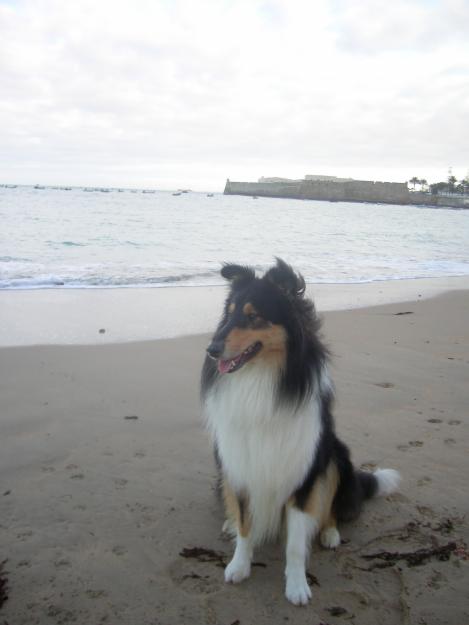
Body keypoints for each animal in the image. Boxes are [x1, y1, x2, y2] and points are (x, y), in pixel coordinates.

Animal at [200, 258, 398, 604]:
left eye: (253, 316)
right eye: (230, 312)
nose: (211, 349)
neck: (262, 379)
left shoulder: (303, 474)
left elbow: (294, 544)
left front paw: (296, 586)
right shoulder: (241, 465)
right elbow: (246, 525)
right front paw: (239, 565)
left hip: (334, 456)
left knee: (331, 507)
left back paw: (330, 533)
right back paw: (229, 523)